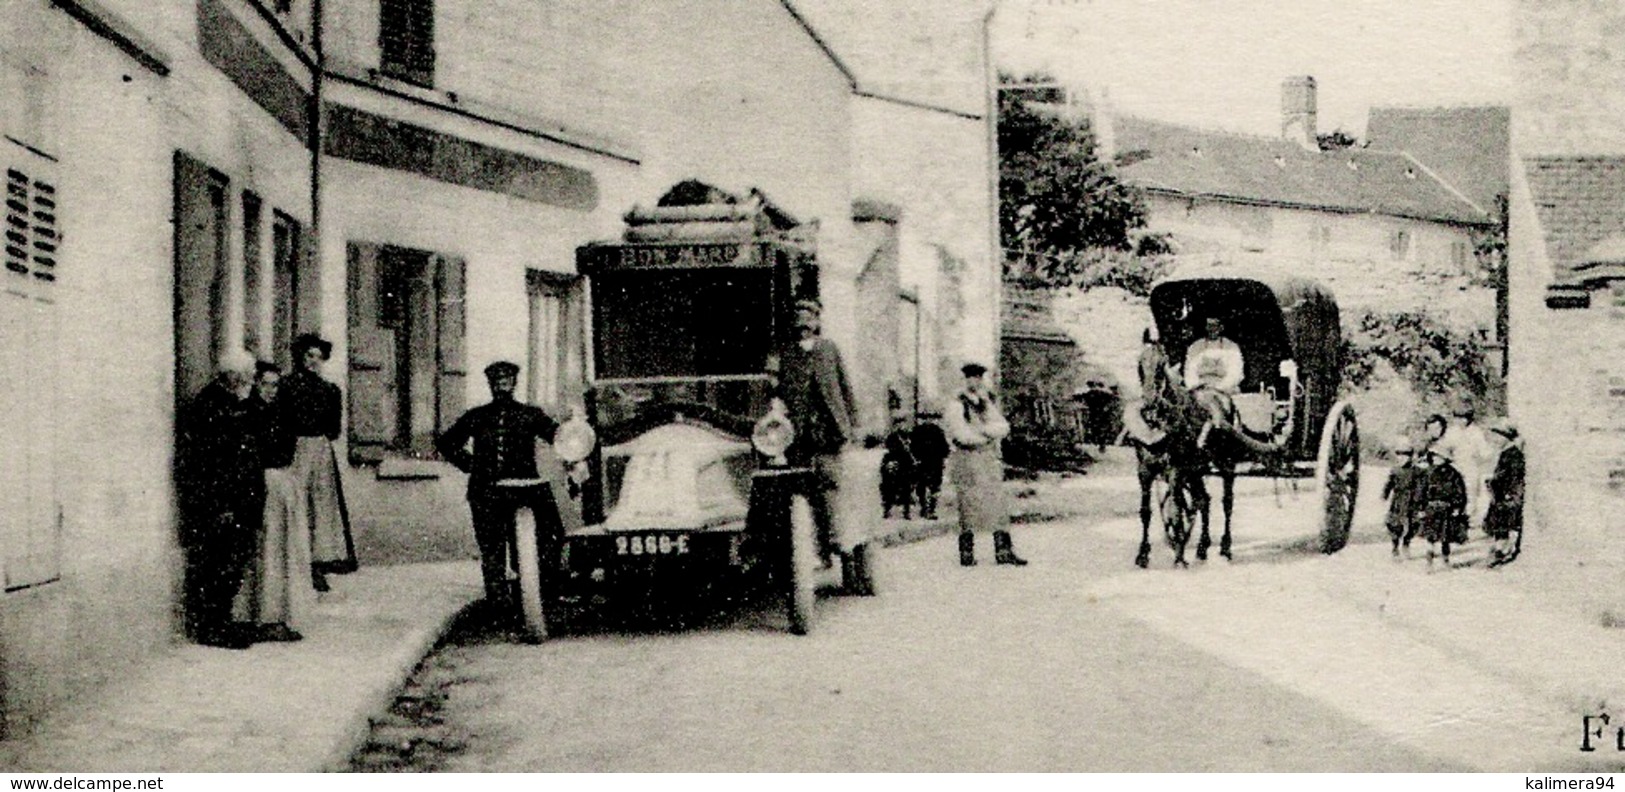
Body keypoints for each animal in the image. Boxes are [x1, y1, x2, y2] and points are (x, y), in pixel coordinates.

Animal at [1131, 359, 1241, 569]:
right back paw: (1202, 549)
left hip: (1226, 464)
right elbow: (1145, 512)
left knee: (1227, 503)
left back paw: (1226, 549)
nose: (1150, 403)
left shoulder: (1175, 471)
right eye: (1140, 364)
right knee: (1204, 500)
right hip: (1196, 470)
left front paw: (1179, 557)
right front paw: (1142, 555)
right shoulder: (1144, 471)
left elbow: (1176, 512)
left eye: (1161, 365)